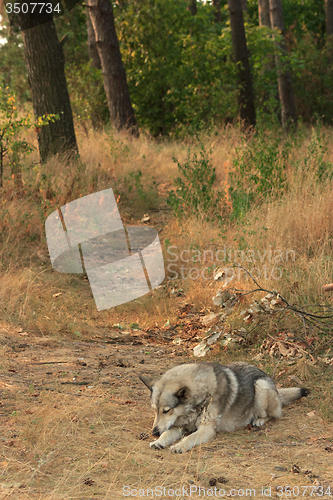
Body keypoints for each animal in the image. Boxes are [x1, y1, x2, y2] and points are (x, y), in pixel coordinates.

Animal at [138, 362, 308, 456]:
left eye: (166, 411)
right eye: (155, 410)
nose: (153, 433)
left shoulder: (206, 430)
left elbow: (189, 438)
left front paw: (179, 446)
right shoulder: (178, 427)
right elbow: (166, 433)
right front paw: (159, 441)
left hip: (261, 386)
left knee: (272, 414)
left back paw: (259, 420)